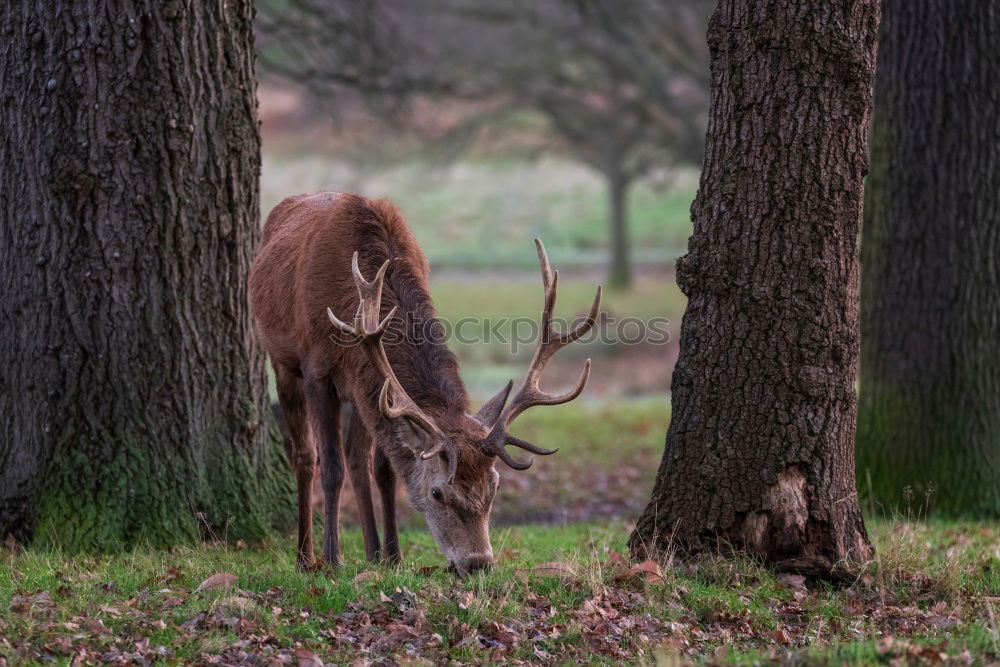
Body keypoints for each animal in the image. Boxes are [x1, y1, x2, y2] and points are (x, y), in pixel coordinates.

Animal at [248, 192, 600, 576]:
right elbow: (330, 467)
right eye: (437, 493)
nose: (479, 563)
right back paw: (306, 556)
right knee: (305, 455)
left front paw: (393, 557)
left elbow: (385, 469)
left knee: (359, 457)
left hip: (359, 391)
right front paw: (334, 559)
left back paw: (372, 552)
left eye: (493, 486)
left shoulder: (371, 383)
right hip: (281, 360)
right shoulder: (317, 369)